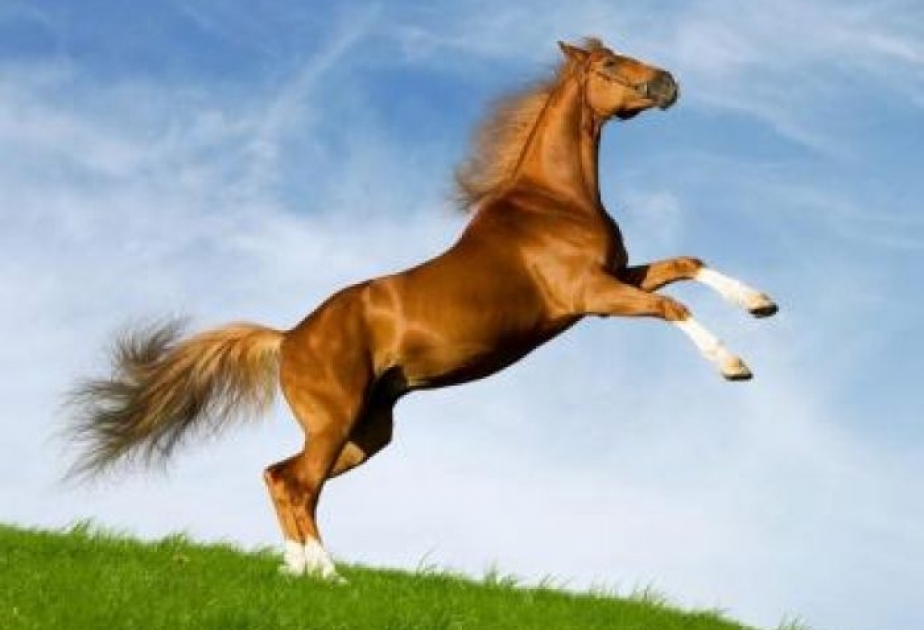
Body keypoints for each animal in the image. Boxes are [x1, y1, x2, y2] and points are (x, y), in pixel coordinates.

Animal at [66, 38, 777, 581]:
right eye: (608, 65)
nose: (668, 82)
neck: (553, 201)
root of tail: (288, 337)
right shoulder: (591, 296)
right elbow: (671, 308)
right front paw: (735, 365)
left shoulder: (616, 276)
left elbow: (686, 264)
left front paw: (762, 303)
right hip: (335, 422)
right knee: (294, 482)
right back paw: (329, 575)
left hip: (366, 433)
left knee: (281, 477)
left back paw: (298, 572)